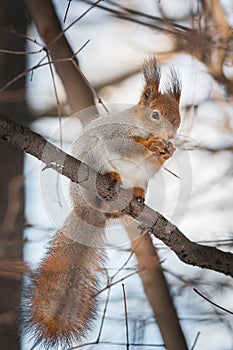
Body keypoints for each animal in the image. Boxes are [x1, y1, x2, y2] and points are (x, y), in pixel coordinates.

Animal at [21, 57, 182, 348]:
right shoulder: (115, 135)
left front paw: (167, 151)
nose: (171, 135)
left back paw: (136, 194)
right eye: (155, 115)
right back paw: (111, 176)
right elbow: (128, 146)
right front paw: (151, 145)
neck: (138, 123)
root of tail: (88, 209)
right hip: (93, 158)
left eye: (179, 116)